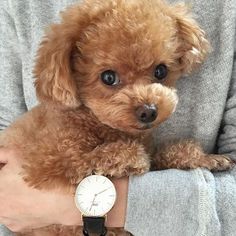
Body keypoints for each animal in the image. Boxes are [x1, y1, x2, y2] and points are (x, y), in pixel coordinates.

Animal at [0, 0, 234, 236]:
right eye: (108, 77)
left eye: (161, 71)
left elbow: (167, 153)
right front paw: (133, 159)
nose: (149, 111)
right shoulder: (47, 164)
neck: (92, 120)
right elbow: (98, 157)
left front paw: (209, 159)